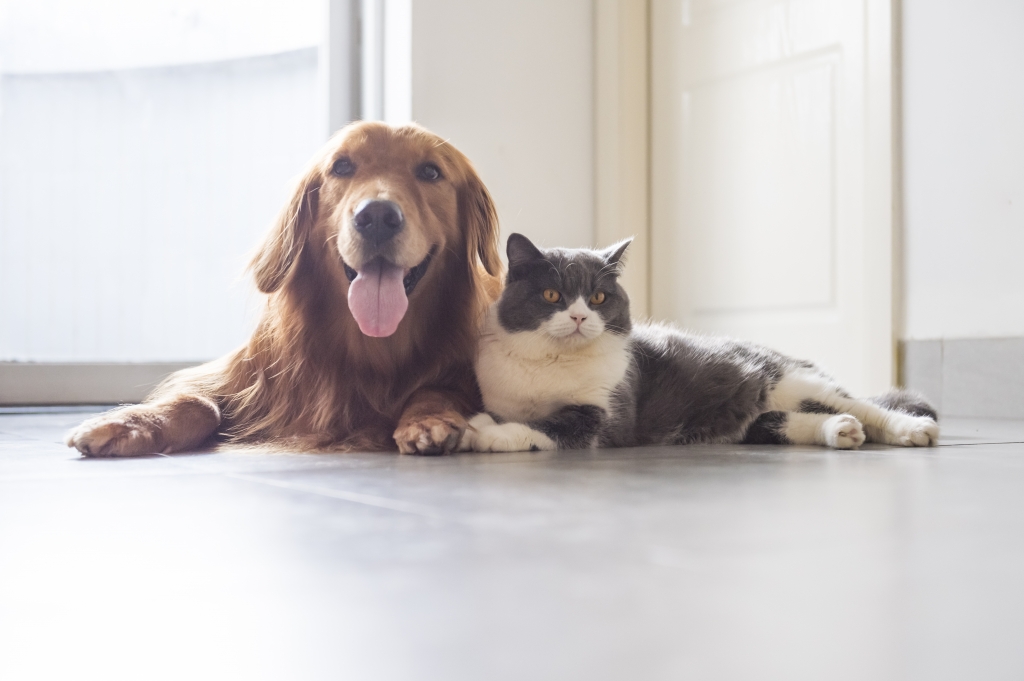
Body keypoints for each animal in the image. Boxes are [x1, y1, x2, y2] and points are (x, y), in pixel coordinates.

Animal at [65, 120, 503, 456]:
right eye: (342, 167)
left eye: (430, 172)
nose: (377, 216)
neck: (371, 350)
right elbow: (199, 400)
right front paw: (129, 422)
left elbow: (436, 388)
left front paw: (428, 419)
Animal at [460, 233, 937, 450]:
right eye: (551, 296)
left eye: (598, 298)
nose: (578, 317)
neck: (551, 363)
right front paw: (480, 424)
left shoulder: (605, 415)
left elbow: (550, 427)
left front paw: (483, 433)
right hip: (756, 415)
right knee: (781, 422)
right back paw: (840, 431)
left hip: (792, 380)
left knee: (867, 406)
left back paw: (911, 429)